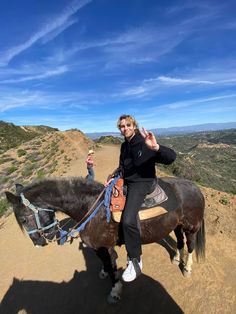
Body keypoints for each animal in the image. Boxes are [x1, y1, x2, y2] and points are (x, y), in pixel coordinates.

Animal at [5, 175, 205, 302]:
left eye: (23, 219)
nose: (38, 242)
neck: (91, 208)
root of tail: (195, 187)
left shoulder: (105, 246)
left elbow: (110, 265)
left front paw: (115, 290)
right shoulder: (98, 247)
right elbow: (106, 263)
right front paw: (104, 273)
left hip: (191, 226)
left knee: (190, 245)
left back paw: (187, 268)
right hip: (177, 225)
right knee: (179, 241)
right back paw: (176, 258)